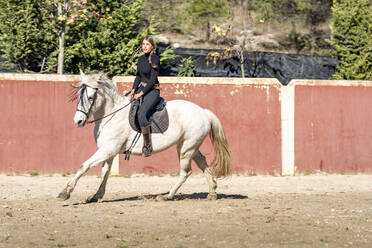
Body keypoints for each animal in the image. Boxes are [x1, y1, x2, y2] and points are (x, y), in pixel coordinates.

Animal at [57, 70, 231, 202]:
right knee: (202, 163)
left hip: (186, 149)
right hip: (189, 146)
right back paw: (212, 193)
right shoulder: (109, 152)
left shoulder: (107, 150)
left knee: (185, 173)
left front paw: (65, 192)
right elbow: (105, 173)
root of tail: (203, 112)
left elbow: (84, 166)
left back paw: (167, 196)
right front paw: (96, 196)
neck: (111, 115)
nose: (78, 121)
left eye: (91, 97)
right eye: (79, 96)